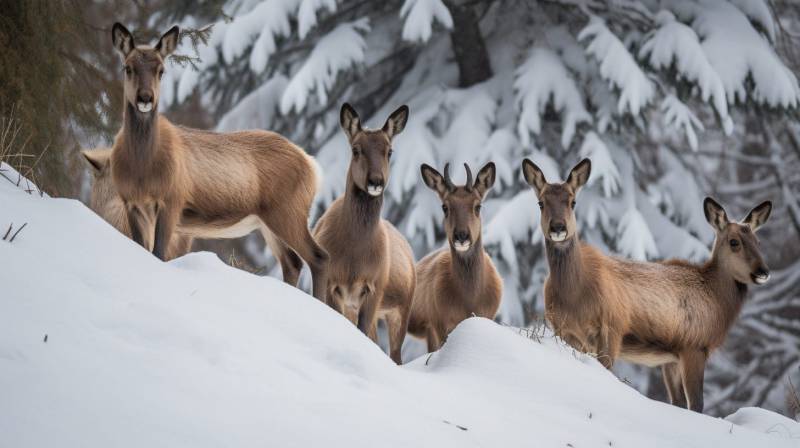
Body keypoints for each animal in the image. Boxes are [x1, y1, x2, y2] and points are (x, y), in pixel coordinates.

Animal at [108, 22, 328, 300]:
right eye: (128, 67)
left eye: (161, 70)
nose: (145, 98)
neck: (142, 170)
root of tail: (312, 165)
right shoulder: (132, 202)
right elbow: (143, 249)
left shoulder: (173, 198)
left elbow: (158, 254)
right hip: (269, 220)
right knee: (293, 262)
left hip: (289, 210)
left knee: (319, 257)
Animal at [310, 102, 416, 364]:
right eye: (356, 149)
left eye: (390, 151)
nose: (376, 181)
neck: (354, 255)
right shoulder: (333, 283)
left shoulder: (375, 285)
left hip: (403, 306)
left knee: (395, 354)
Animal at [410, 163, 504, 352]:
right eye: (445, 207)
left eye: (478, 206)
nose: (461, 235)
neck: (470, 300)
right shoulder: (439, 323)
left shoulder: (488, 315)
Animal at [520, 158, 772, 412]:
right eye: (541, 203)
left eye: (573, 201)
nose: (763, 272)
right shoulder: (691, 344)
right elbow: (696, 405)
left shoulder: (669, 354)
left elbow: (680, 403)